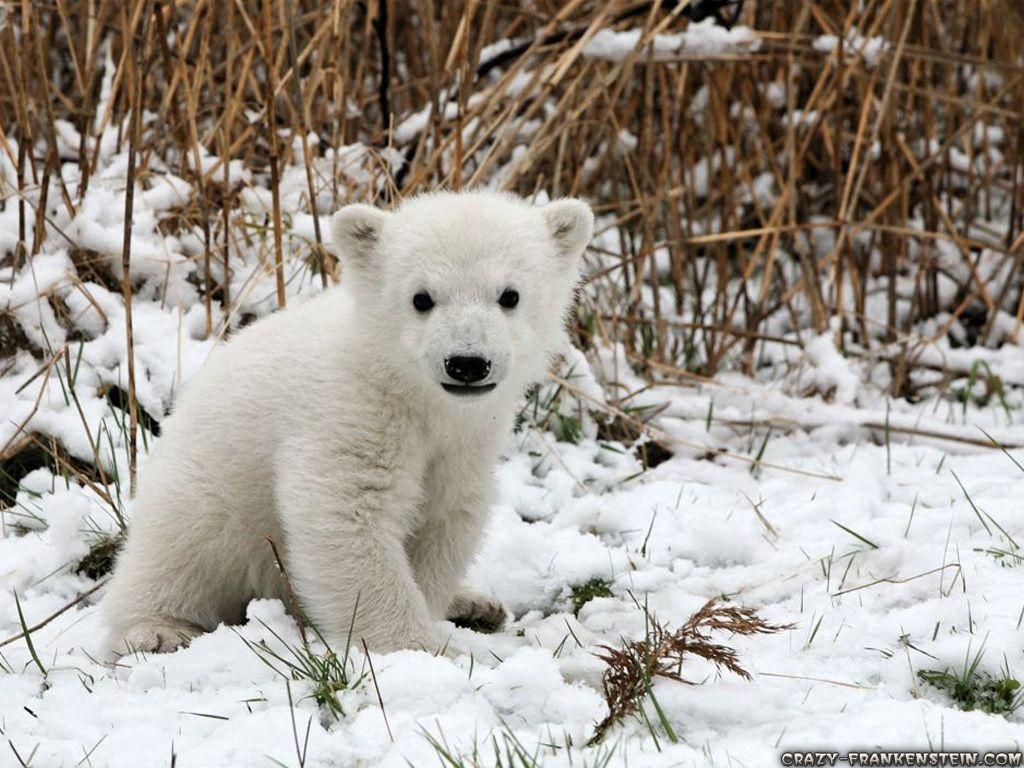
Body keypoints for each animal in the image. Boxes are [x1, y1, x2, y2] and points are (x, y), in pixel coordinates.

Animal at [102, 190, 593, 654]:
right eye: (421, 298)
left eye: (510, 295)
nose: (467, 363)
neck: (408, 388)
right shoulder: (349, 413)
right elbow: (345, 513)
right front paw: (416, 648)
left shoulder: (466, 441)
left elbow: (445, 514)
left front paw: (436, 613)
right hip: (206, 493)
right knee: (178, 553)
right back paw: (156, 630)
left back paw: (477, 603)